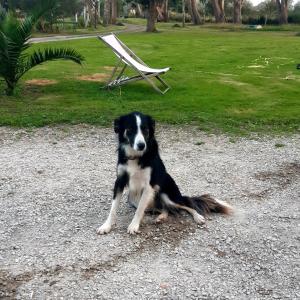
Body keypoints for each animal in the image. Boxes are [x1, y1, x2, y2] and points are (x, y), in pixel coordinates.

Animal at [97, 112, 233, 234]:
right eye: (130, 129)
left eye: (145, 130)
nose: (141, 145)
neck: (136, 156)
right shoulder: (119, 180)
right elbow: (113, 208)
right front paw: (106, 226)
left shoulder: (149, 185)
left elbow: (139, 209)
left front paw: (134, 225)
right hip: (133, 199)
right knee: (164, 209)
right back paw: (161, 217)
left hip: (167, 196)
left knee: (185, 206)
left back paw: (197, 217)